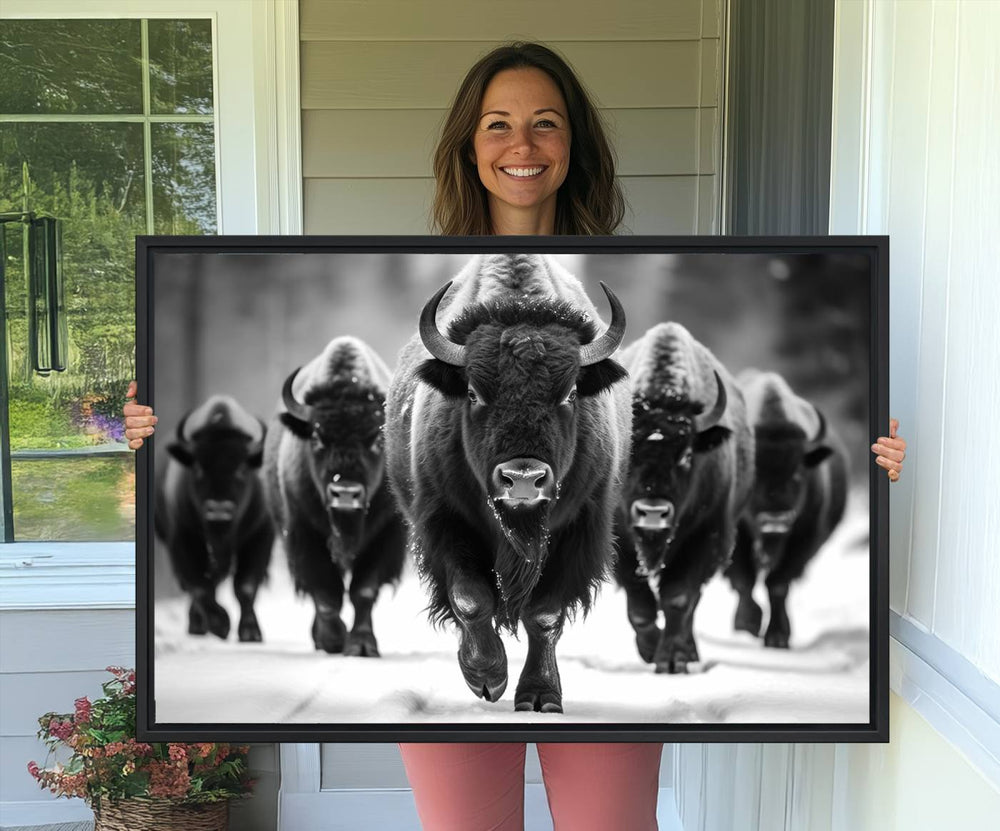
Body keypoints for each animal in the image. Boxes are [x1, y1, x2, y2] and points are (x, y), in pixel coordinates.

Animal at [153, 396, 272, 644]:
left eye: (242, 468)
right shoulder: (182, 539)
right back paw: (198, 625)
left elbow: (245, 586)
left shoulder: (260, 535)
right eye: (198, 467)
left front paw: (250, 633)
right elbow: (199, 586)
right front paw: (220, 624)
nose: (218, 510)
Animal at [266, 336, 410, 656]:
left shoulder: (386, 535)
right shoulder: (304, 533)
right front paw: (333, 640)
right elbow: (326, 593)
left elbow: (363, 590)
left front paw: (362, 645)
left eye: (377, 439)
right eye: (317, 437)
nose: (345, 492)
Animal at [386, 255, 628, 716]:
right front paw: (487, 677)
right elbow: (470, 597)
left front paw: (540, 696)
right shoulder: (445, 521)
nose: (523, 479)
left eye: (571, 394)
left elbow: (544, 615)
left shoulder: (578, 530)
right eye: (473, 393)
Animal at [612, 322, 752, 672]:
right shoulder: (621, 544)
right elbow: (641, 607)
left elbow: (678, 598)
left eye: (687, 455)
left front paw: (672, 660)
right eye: (629, 451)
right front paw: (650, 650)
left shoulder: (704, 538)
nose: (652, 512)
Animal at [724, 370, 848, 648]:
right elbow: (744, 579)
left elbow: (778, 585)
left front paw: (778, 635)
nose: (775, 520)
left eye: (797, 474)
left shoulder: (802, 540)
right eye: (754, 476)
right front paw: (747, 624)